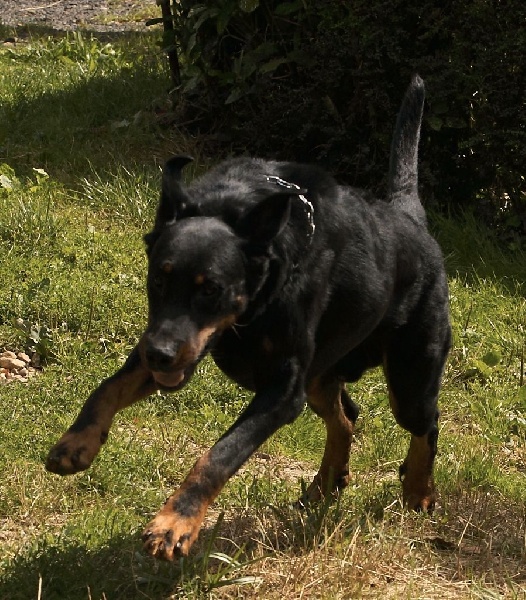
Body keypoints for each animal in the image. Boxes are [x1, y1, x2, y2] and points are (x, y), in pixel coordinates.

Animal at [46, 75, 451, 560]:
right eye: (158, 278)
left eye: (211, 289)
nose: (159, 355)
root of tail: (411, 218)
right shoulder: (174, 342)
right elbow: (109, 385)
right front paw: (77, 442)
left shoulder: (282, 389)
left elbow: (219, 454)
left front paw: (174, 523)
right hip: (321, 374)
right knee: (346, 415)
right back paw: (325, 484)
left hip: (409, 373)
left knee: (426, 422)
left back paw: (418, 489)